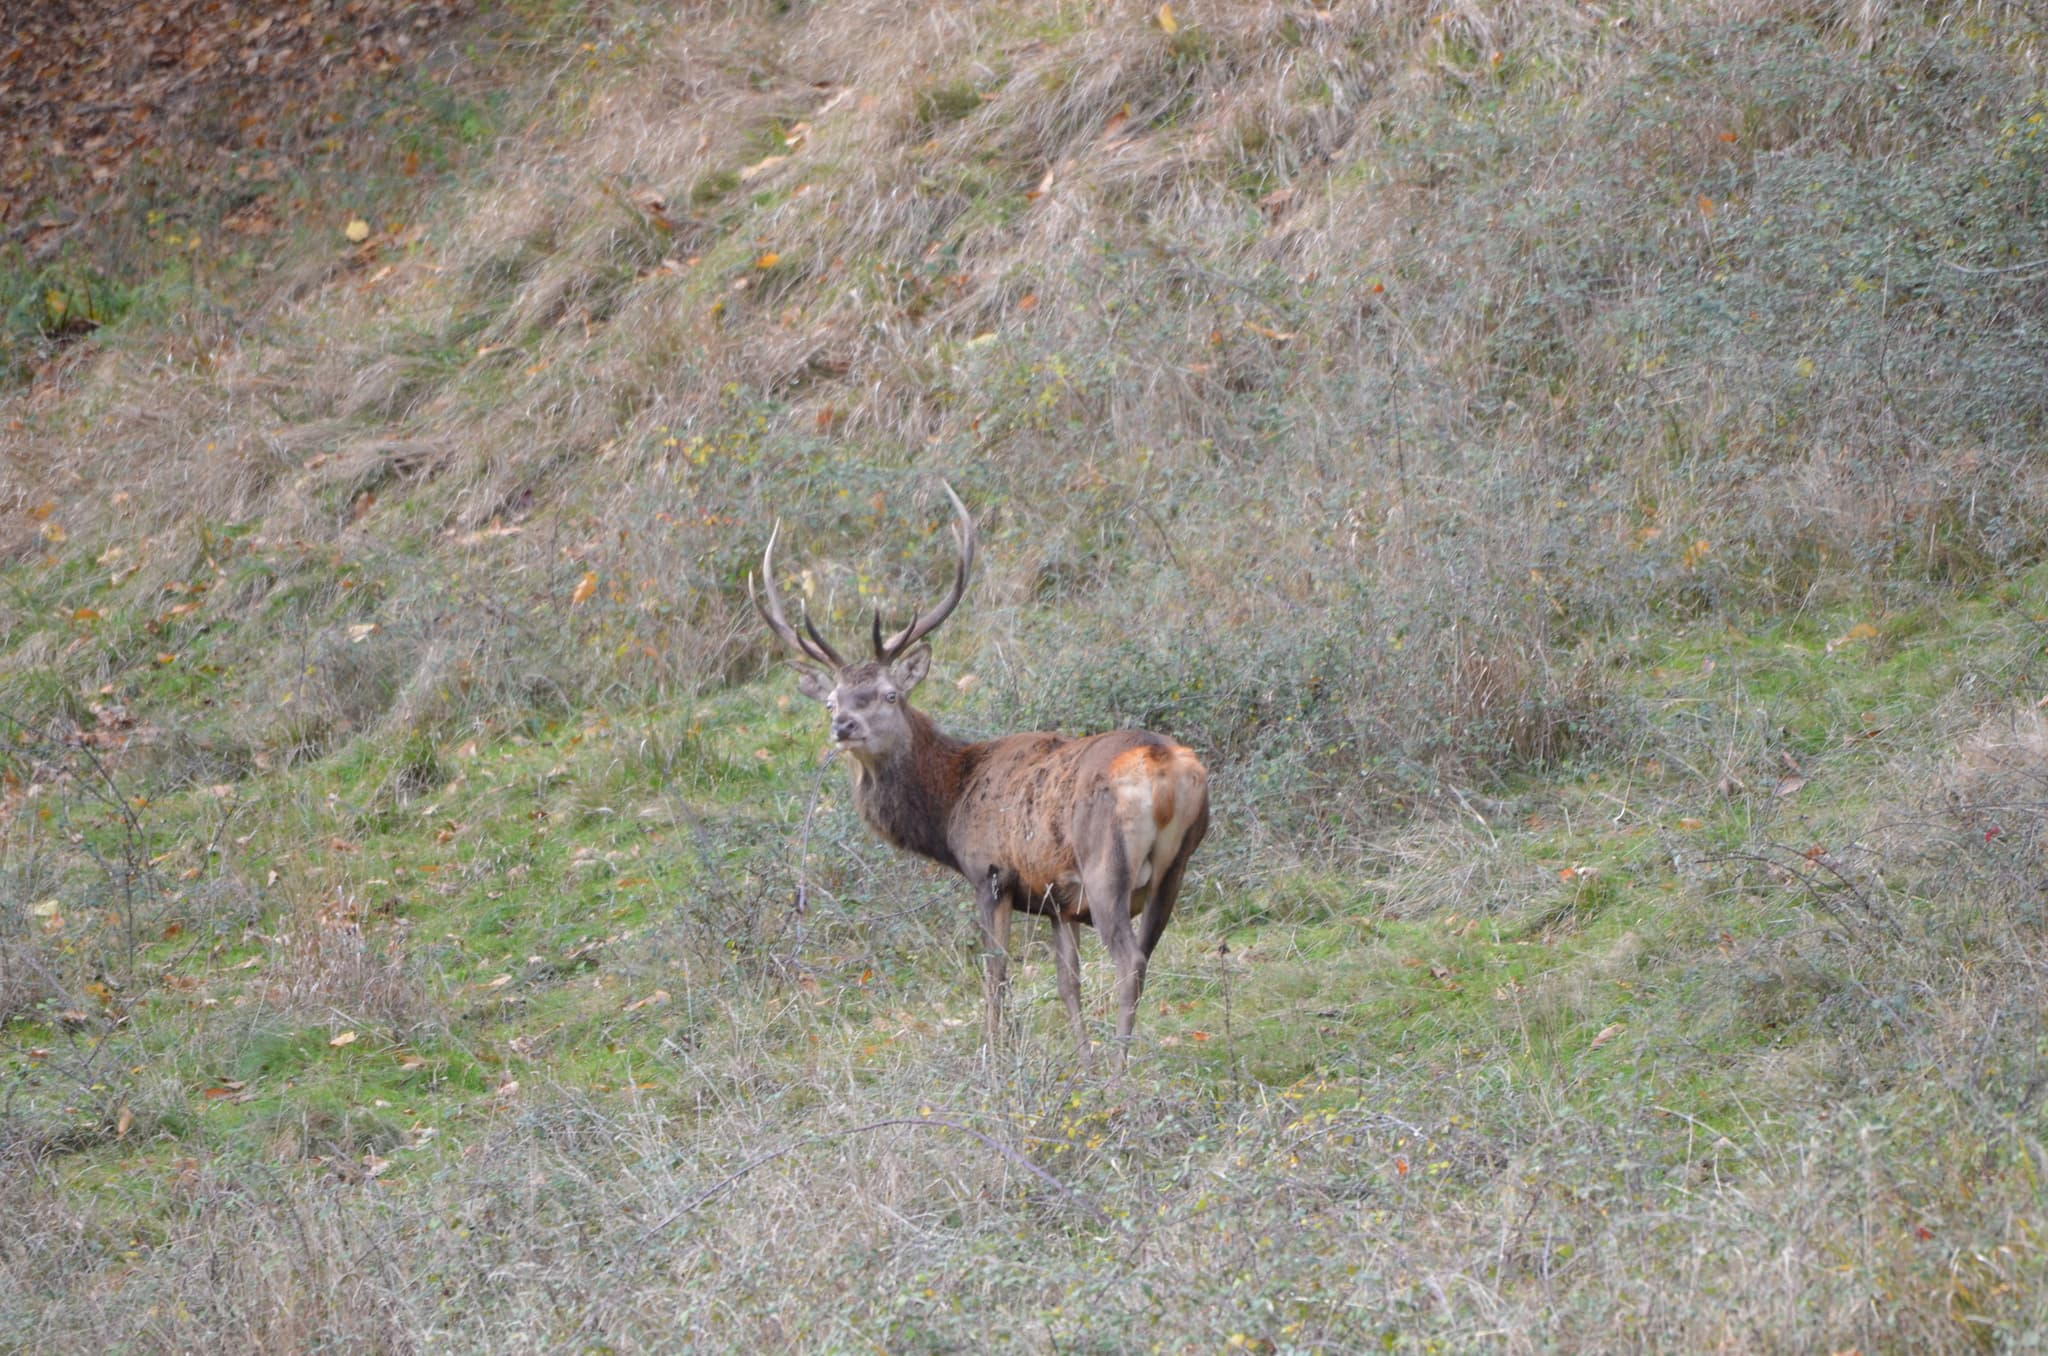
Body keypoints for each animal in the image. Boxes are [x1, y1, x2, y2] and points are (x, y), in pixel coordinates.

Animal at [751, 485, 1209, 1064]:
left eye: (890, 694)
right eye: (832, 699)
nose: (843, 725)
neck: (952, 804)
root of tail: (1165, 767)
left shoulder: (991, 873)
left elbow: (996, 978)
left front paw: (993, 1059)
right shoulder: (1057, 900)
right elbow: (1068, 981)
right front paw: (1080, 1060)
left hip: (1107, 862)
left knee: (1130, 961)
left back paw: (1120, 1067)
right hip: (1178, 866)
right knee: (1146, 954)